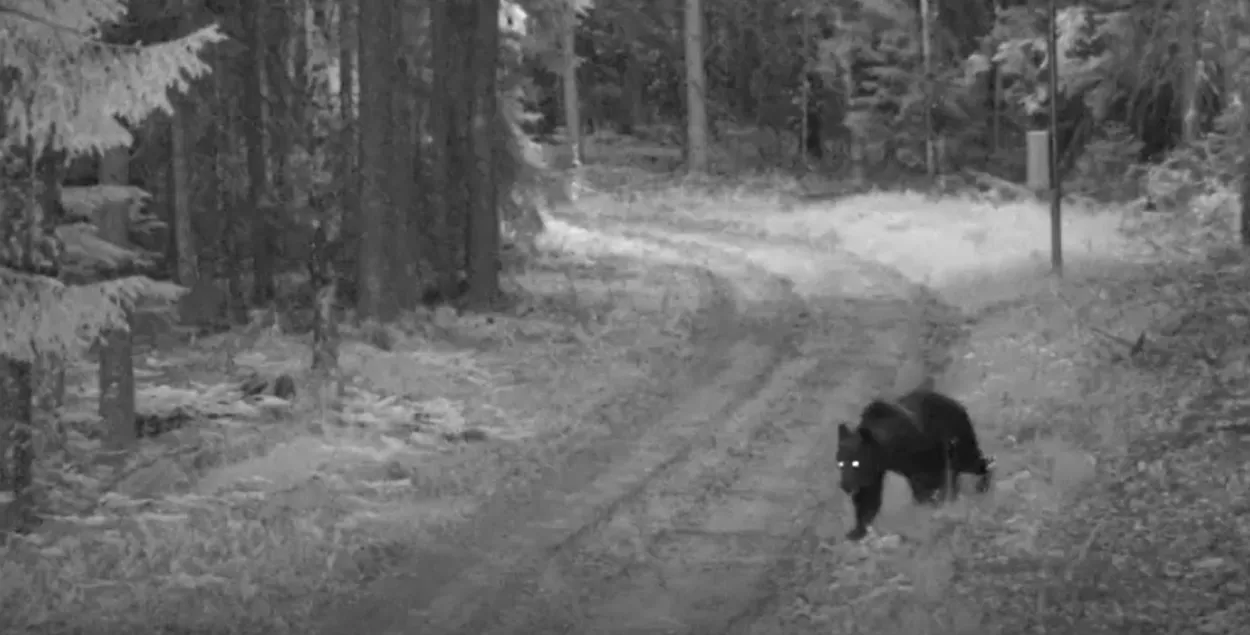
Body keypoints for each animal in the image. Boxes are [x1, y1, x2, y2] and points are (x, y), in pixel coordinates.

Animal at [836, 384, 995, 541]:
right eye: (840, 463)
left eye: (856, 463)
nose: (845, 486)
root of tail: (955, 403)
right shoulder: (875, 471)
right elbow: (869, 496)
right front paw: (856, 530)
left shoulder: (922, 455)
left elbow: (931, 482)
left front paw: (937, 503)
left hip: (957, 437)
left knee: (970, 461)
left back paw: (982, 482)